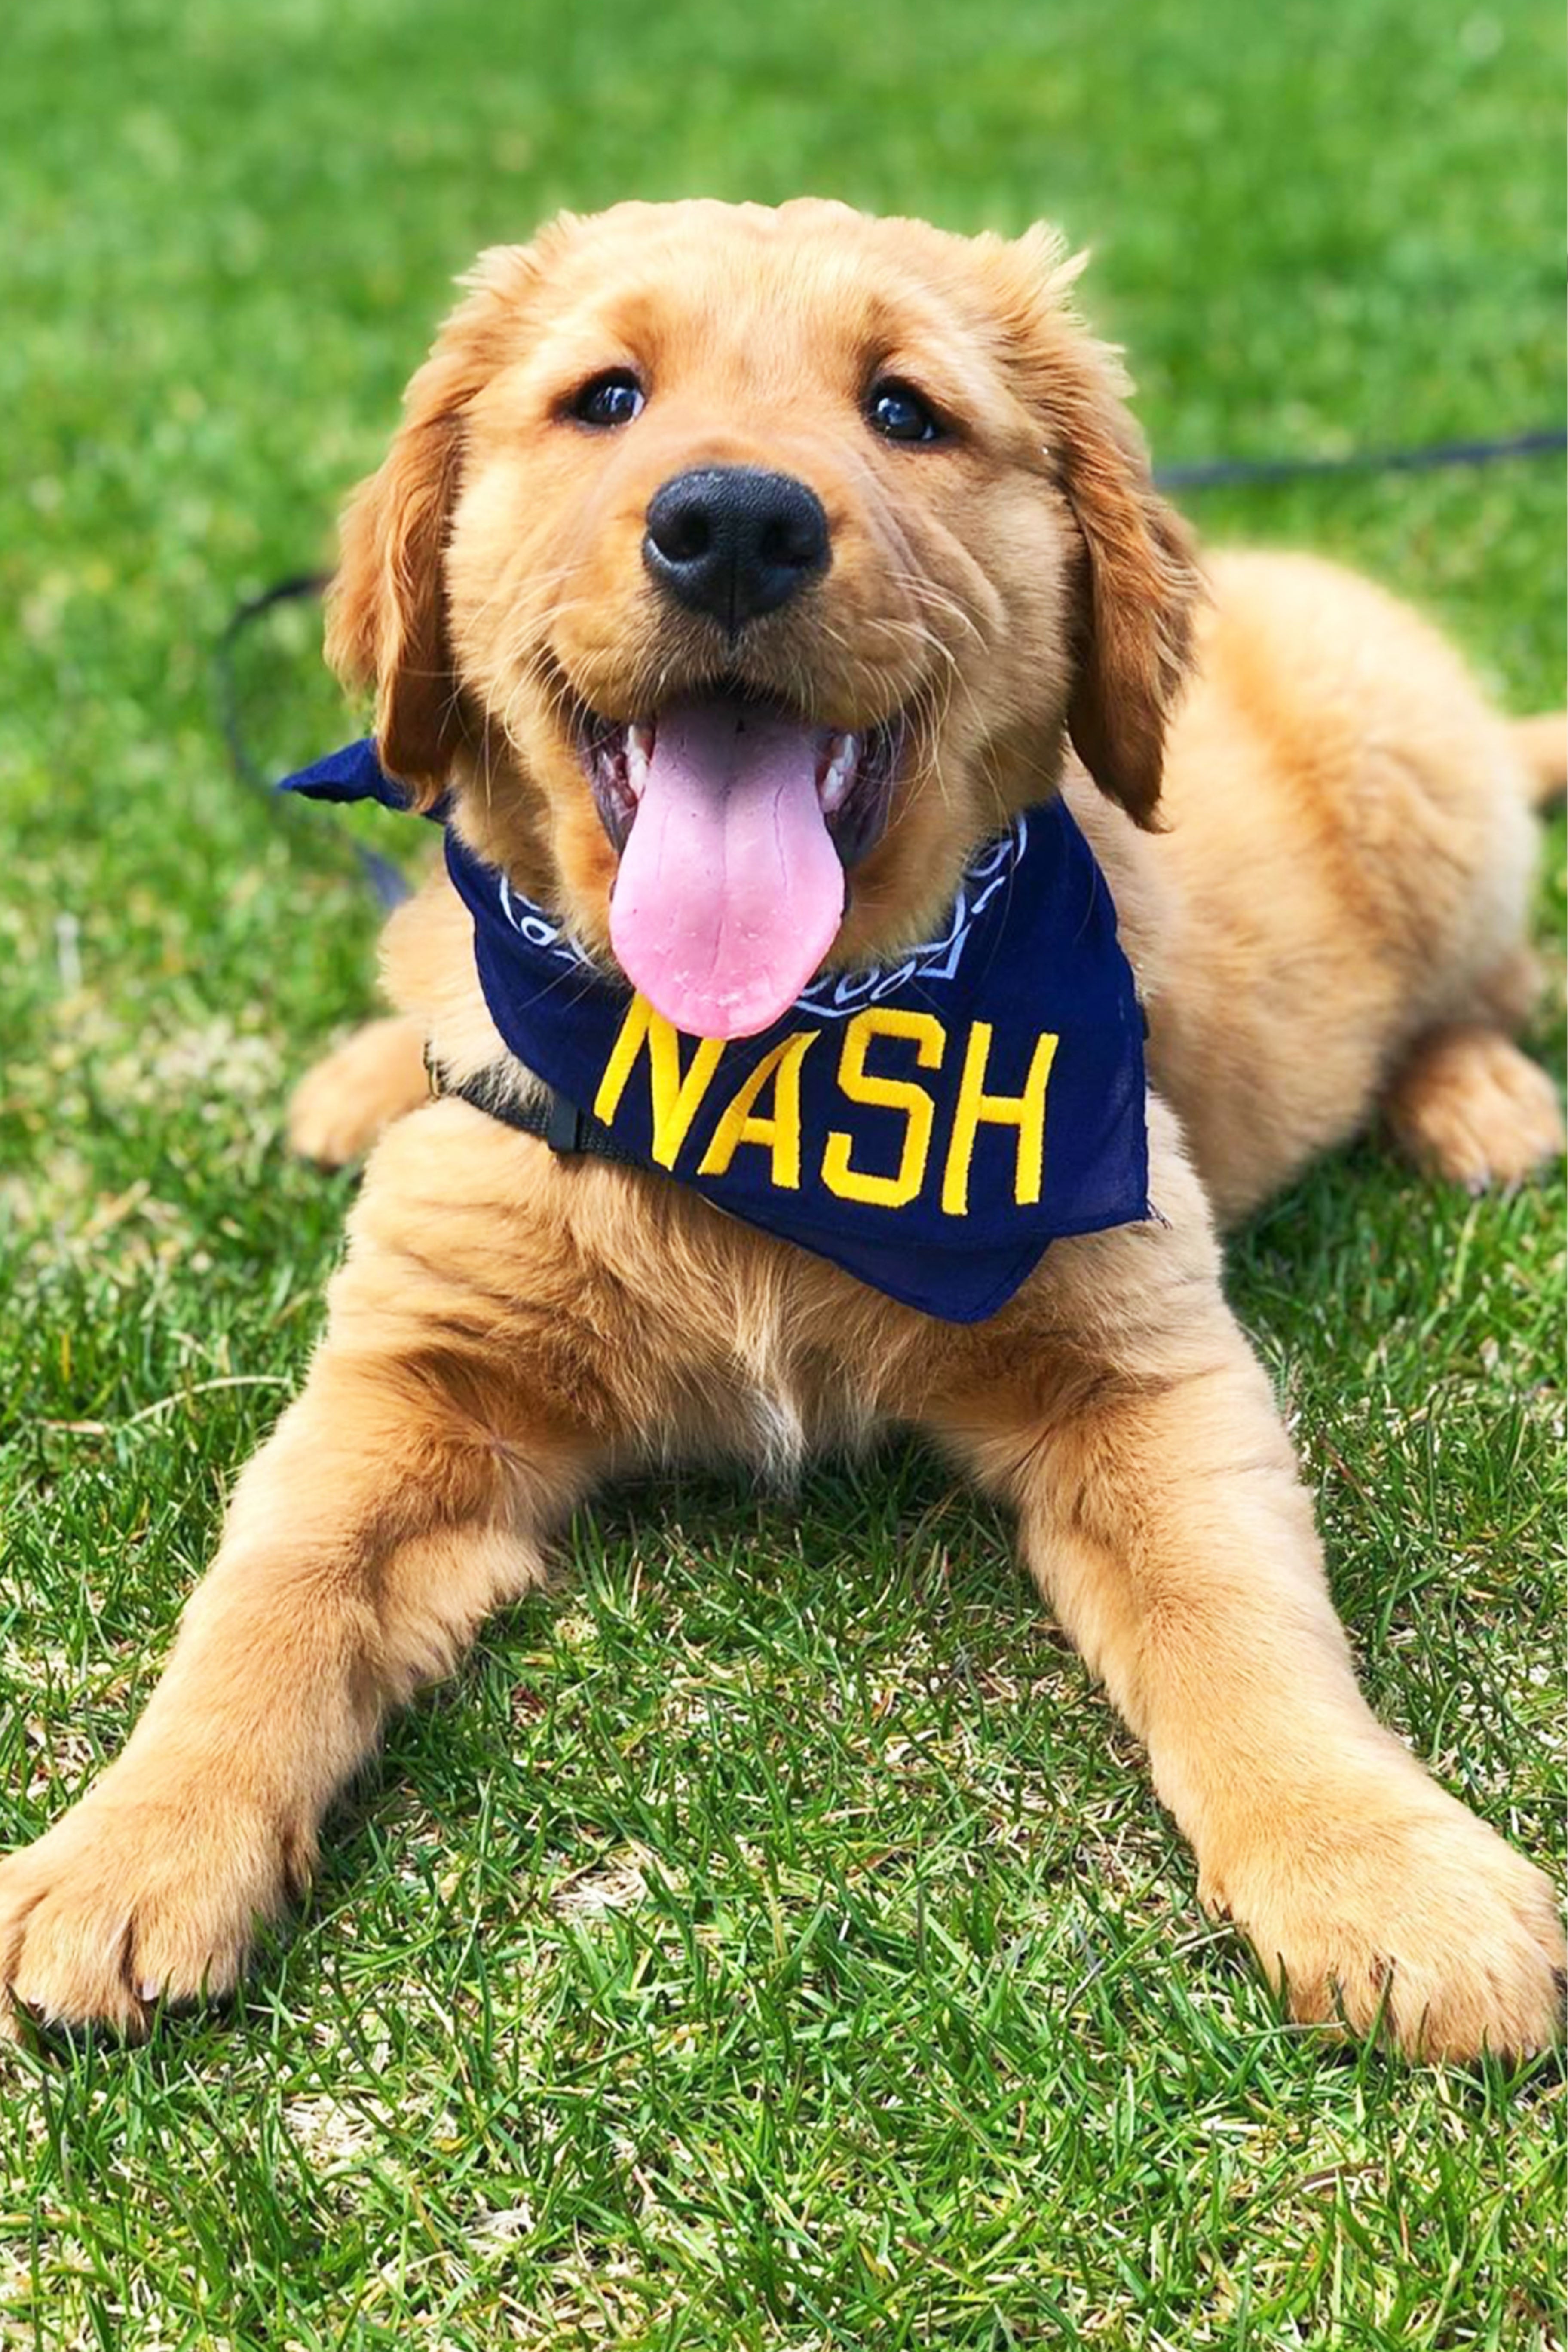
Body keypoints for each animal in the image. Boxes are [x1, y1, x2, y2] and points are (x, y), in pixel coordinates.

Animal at [6, 202, 1561, 2051]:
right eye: (604, 396)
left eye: (904, 411)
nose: (735, 526)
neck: (757, 1066)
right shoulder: (414, 1373)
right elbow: (269, 1591)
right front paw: (132, 1842)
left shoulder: (1143, 1362)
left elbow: (1242, 1616)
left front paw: (1381, 1870)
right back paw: (363, 1070)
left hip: (1427, 799)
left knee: (1496, 974)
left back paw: (1481, 1099)